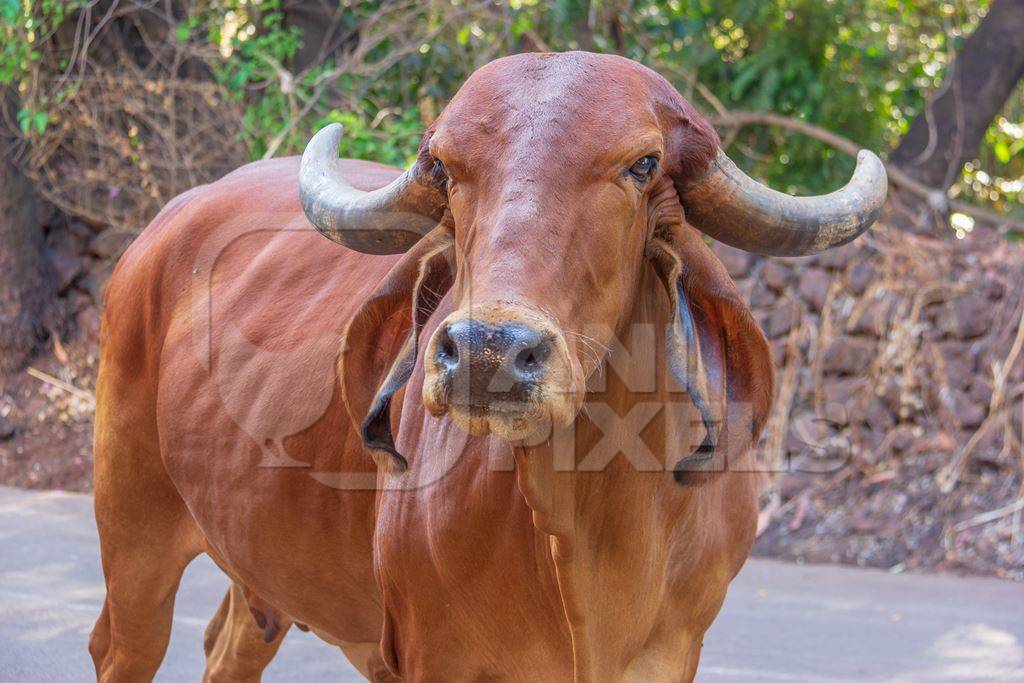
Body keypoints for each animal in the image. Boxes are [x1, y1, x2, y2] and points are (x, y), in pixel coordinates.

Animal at [92, 50, 884, 679]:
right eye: (444, 168)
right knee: (120, 645)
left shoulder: (671, 652)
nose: (487, 352)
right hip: (132, 530)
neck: (592, 535)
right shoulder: (435, 657)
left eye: (643, 165)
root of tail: (161, 231)